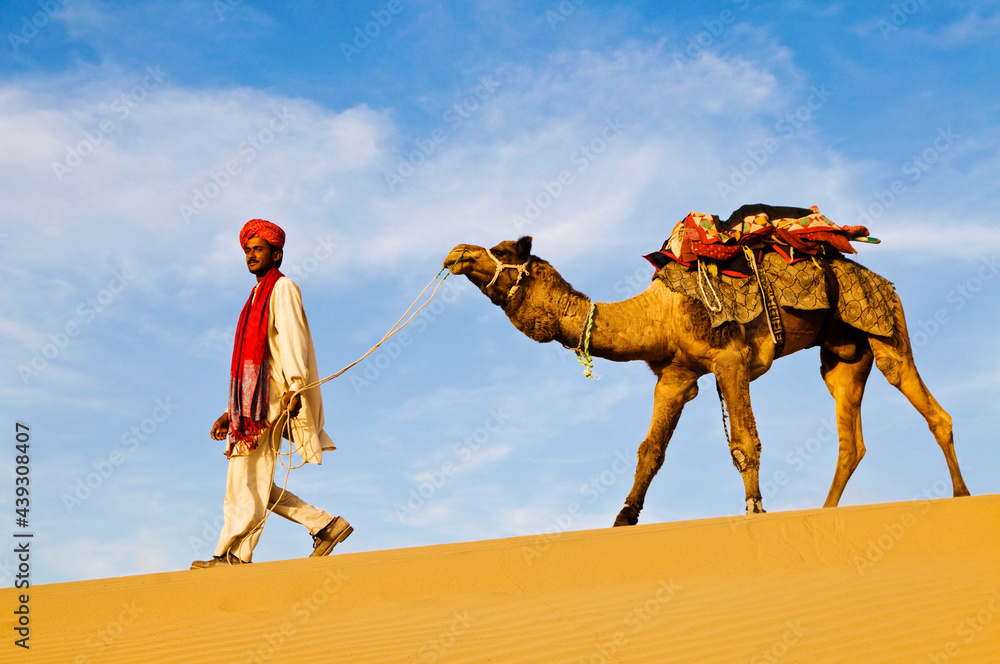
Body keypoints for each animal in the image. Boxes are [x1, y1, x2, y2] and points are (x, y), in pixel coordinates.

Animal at [444, 235, 968, 524]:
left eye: (500, 250)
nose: (456, 253)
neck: (660, 314)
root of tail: (885, 282)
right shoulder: (676, 376)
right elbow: (650, 451)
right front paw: (623, 518)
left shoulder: (729, 358)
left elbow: (744, 442)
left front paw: (755, 508)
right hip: (842, 356)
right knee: (851, 440)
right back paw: (826, 510)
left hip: (885, 327)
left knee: (930, 407)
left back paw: (962, 496)